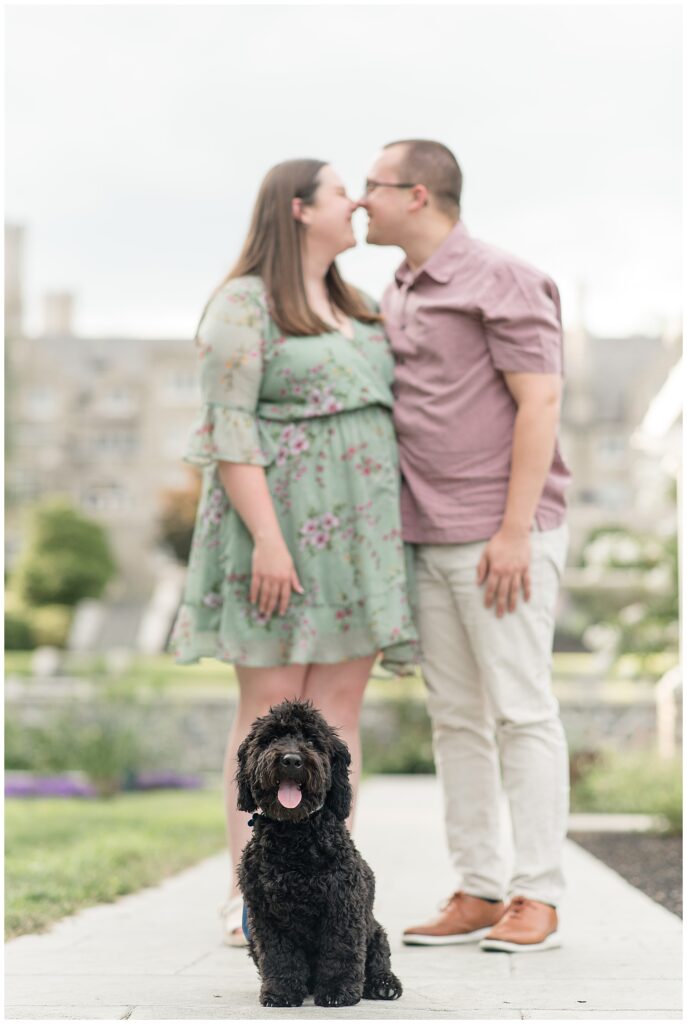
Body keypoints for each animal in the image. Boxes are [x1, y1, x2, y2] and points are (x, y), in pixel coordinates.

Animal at [236, 696, 403, 1007]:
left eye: (312, 741)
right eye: (272, 738)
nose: (291, 760)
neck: (295, 836)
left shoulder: (341, 907)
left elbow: (340, 951)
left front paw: (338, 991)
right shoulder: (266, 916)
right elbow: (280, 957)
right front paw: (281, 992)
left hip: (375, 931)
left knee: (378, 960)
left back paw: (383, 984)